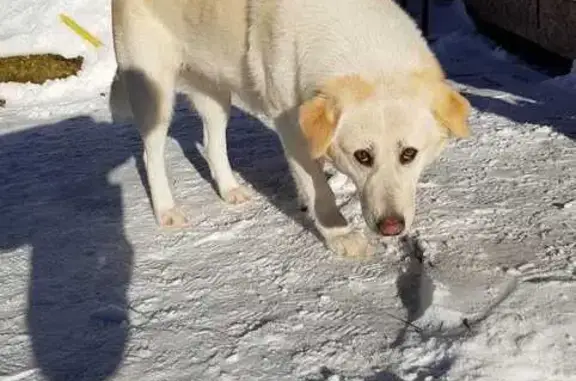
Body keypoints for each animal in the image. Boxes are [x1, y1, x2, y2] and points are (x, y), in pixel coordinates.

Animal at [110, 0, 470, 256]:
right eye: (362, 156)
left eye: (409, 154)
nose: (391, 227)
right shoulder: (290, 126)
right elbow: (317, 187)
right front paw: (339, 234)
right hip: (154, 90)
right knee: (151, 152)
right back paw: (166, 210)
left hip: (215, 93)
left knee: (213, 143)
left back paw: (230, 189)